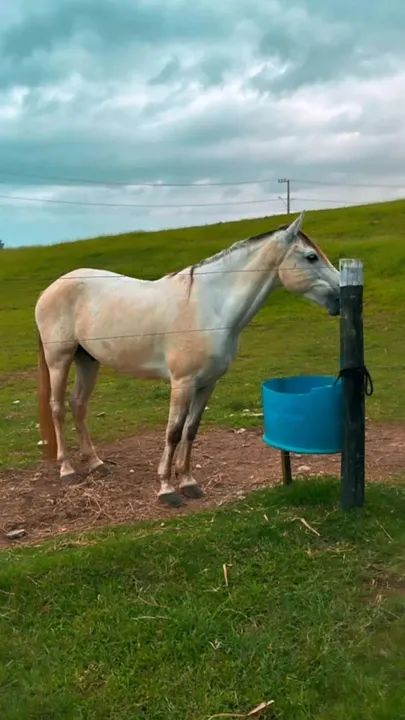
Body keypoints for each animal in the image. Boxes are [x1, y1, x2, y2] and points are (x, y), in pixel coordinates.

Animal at [35, 212, 340, 507]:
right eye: (311, 257)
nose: (340, 295)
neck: (209, 308)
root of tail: (51, 288)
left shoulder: (207, 383)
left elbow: (191, 430)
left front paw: (188, 482)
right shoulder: (182, 383)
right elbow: (173, 431)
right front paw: (167, 489)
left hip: (88, 360)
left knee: (78, 405)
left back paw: (96, 463)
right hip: (59, 360)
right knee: (57, 408)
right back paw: (67, 470)